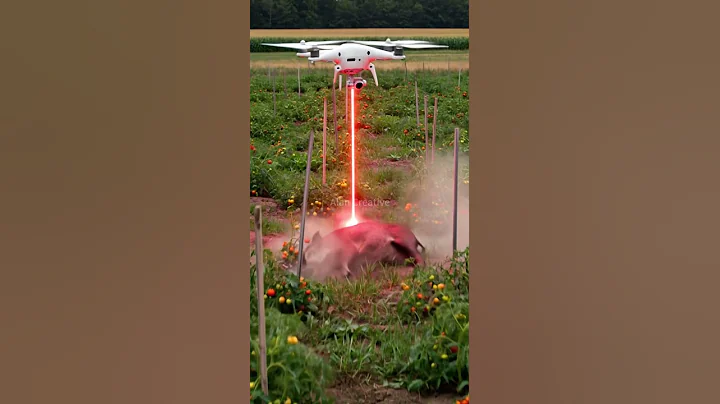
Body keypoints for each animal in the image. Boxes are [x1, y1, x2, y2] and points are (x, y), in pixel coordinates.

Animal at [296, 220, 426, 282]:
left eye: (309, 254)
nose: (304, 269)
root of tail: (415, 238)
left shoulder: (348, 247)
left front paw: (347, 273)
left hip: (404, 240)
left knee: (420, 257)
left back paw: (417, 269)